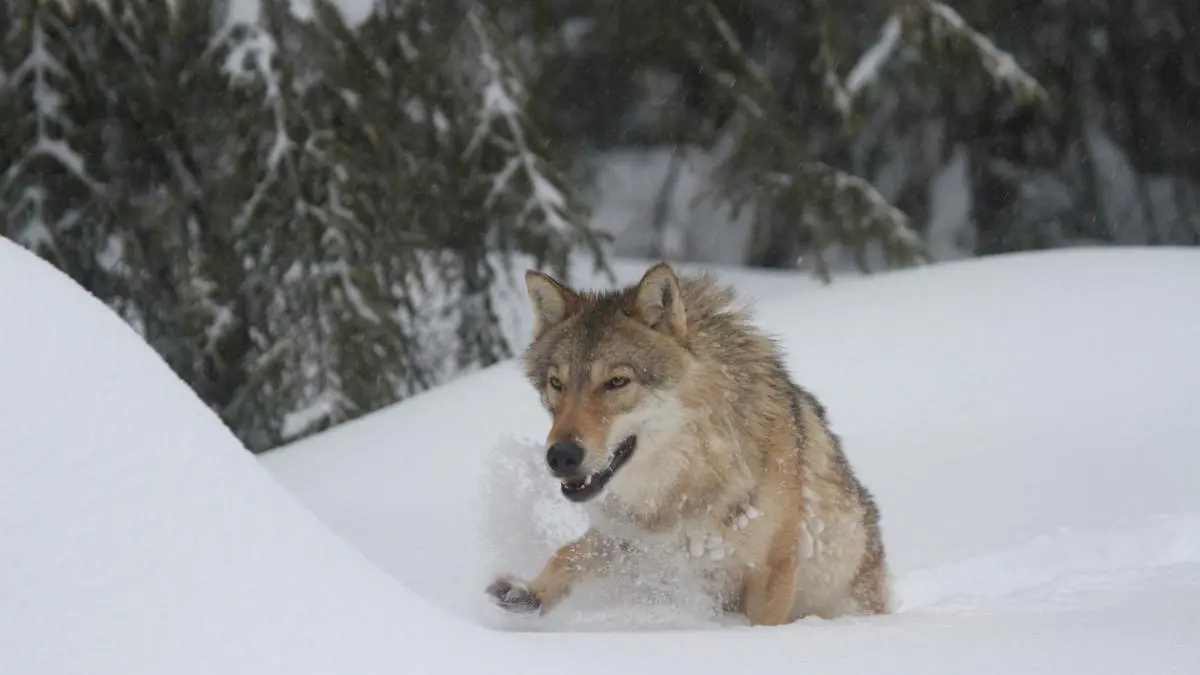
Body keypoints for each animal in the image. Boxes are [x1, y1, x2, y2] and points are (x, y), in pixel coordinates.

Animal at [485, 262, 891, 626]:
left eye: (617, 382)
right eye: (557, 383)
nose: (561, 456)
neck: (689, 479)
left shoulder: (771, 572)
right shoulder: (634, 540)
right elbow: (570, 552)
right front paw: (529, 591)